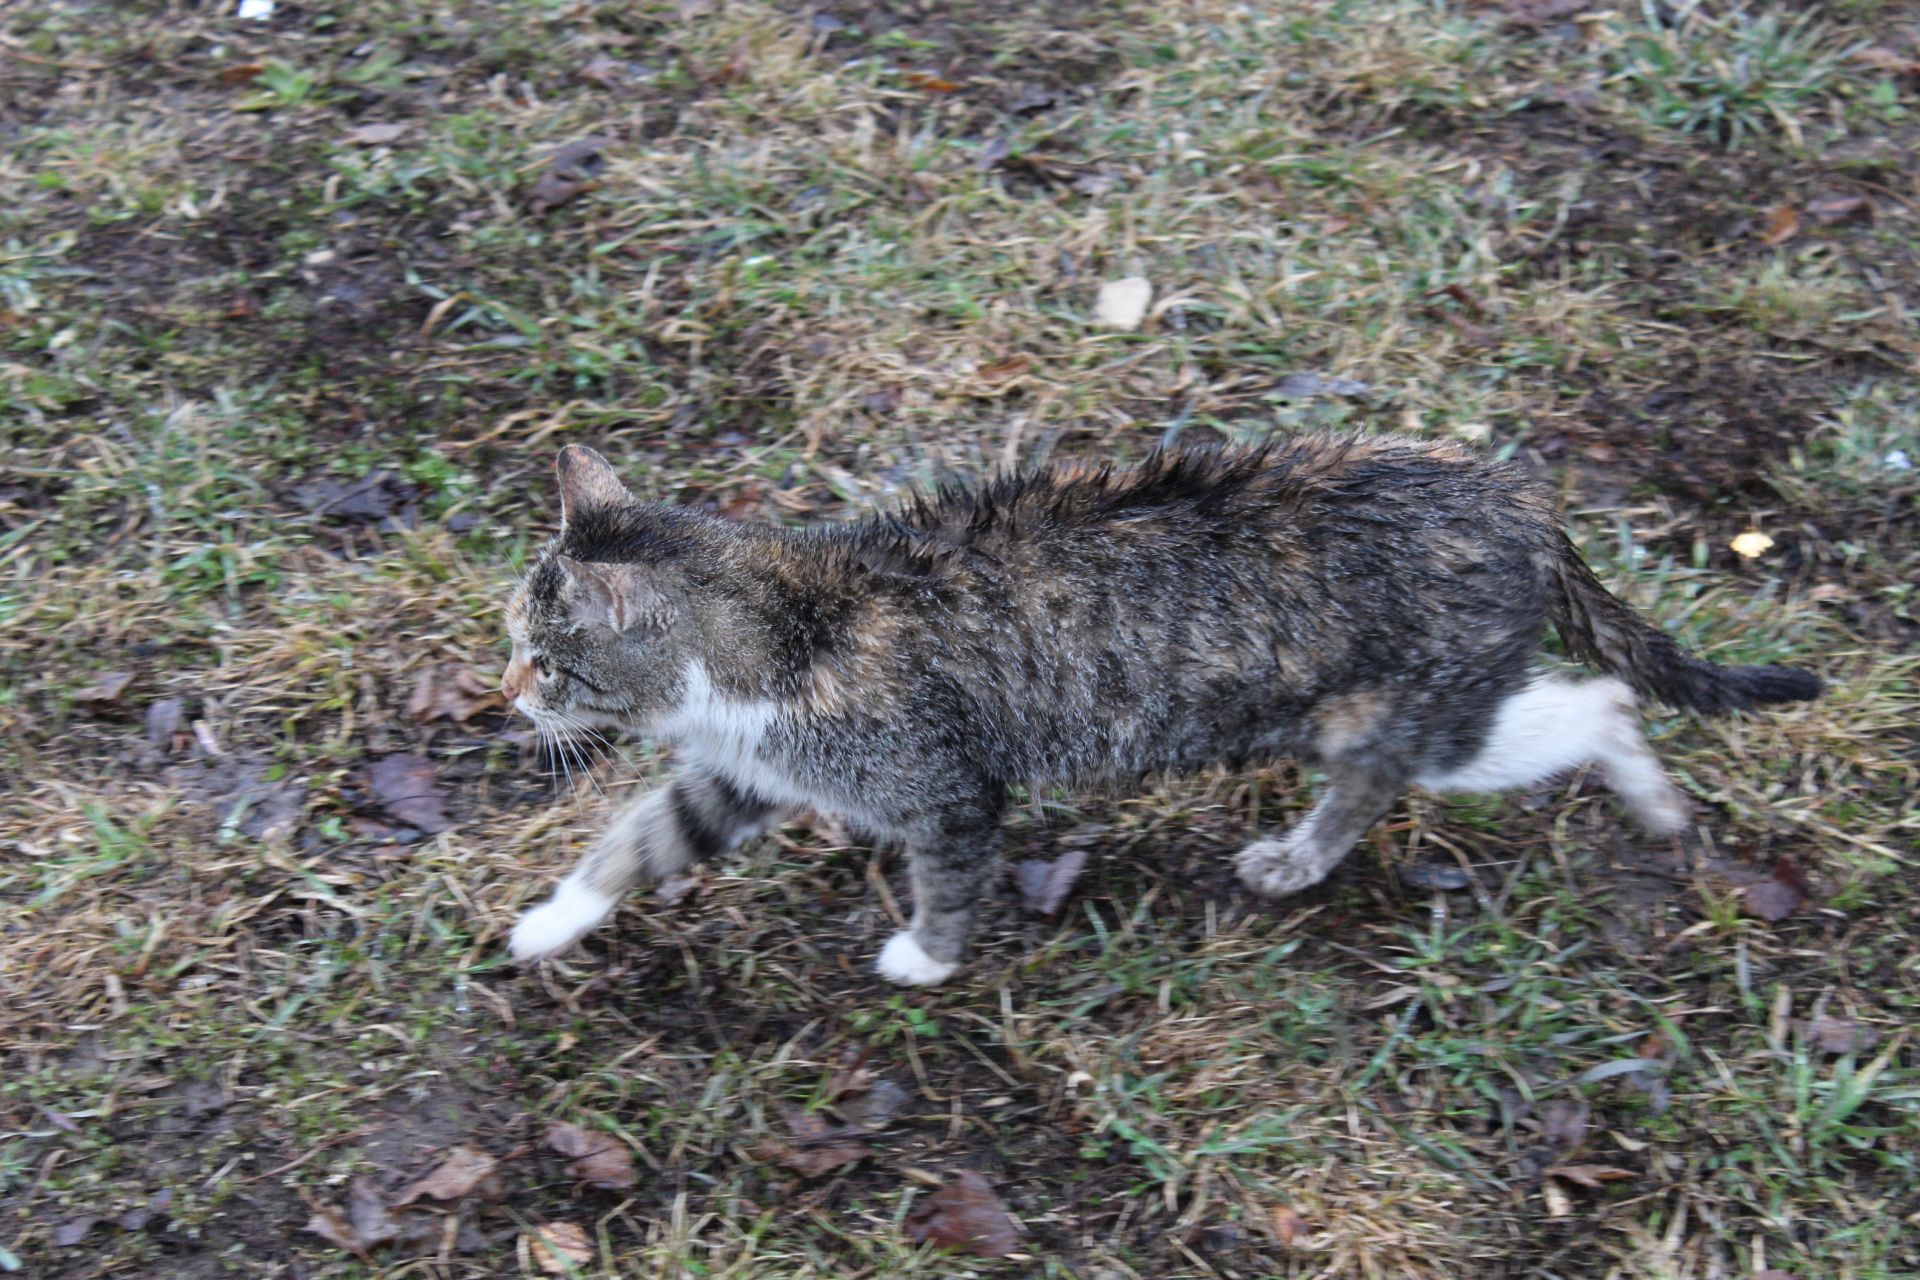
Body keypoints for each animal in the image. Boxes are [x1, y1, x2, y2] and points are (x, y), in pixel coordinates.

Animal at [495, 435, 1812, 990]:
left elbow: (950, 874)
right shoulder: (740, 769)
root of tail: (1520, 500)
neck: (782, 621)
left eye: (548, 660)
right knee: (1376, 775)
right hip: (1370, 714)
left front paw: (926, 954)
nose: (504, 691)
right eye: (519, 642)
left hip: (1437, 711)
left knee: (1595, 700)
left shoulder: (941, 784)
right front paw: (550, 923)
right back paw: (1298, 858)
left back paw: (1647, 793)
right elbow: (640, 839)